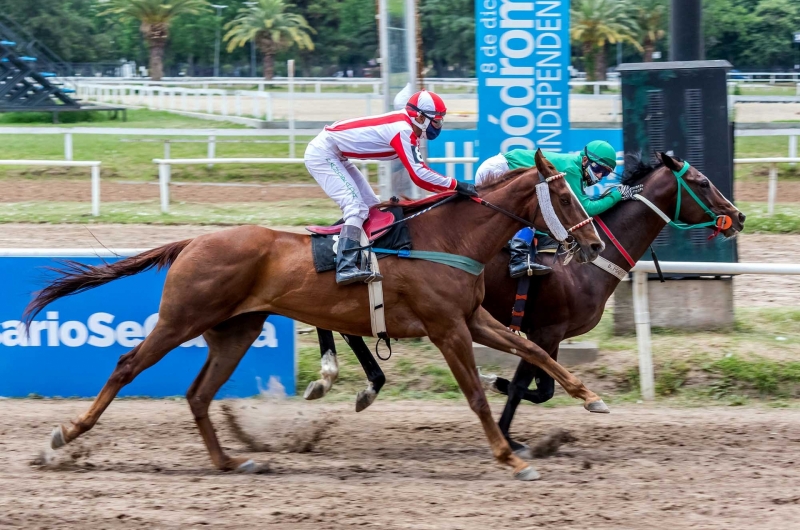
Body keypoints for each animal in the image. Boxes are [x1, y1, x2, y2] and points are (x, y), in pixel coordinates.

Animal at [25, 147, 604, 478]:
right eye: (567, 198)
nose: (596, 244)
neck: (447, 238)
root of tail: (194, 241)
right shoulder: (446, 329)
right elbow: (478, 397)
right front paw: (510, 458)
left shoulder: (473, 318)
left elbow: (533, 350)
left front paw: (590, 397)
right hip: (181, 318)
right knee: (128, 366)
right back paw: (65, 436)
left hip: (235, 330)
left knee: (198, 394)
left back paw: (229, 460)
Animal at [310, 153, 744, 454]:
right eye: (703, 182)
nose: (738, 216)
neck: (585, 263)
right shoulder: (546, 328)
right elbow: (525, 385)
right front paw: (505, 424)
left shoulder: (548, 333)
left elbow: (542, 384)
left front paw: (504, 403)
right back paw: (341, 378)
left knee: (338, 326)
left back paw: (352, 381)